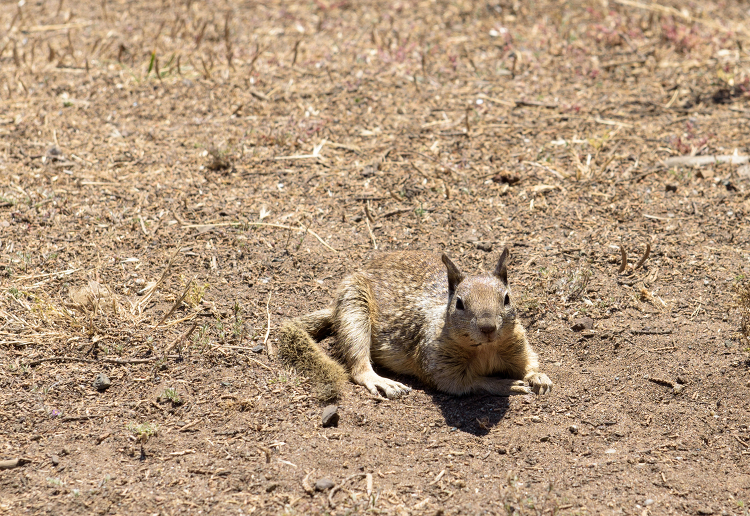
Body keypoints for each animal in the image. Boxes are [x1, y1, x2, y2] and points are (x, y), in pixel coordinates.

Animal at [280, 249, 556, 400]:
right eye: (459, 304)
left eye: (507, 298)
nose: (488, 328)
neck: (485, 349)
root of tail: (334, 309)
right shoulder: (436, 361)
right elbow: (464, 383)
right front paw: (503, 384)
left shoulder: (518, 345)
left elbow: (530, 362)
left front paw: (538, 377)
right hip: (353, 306)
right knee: (357, 364)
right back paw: (381, 381)